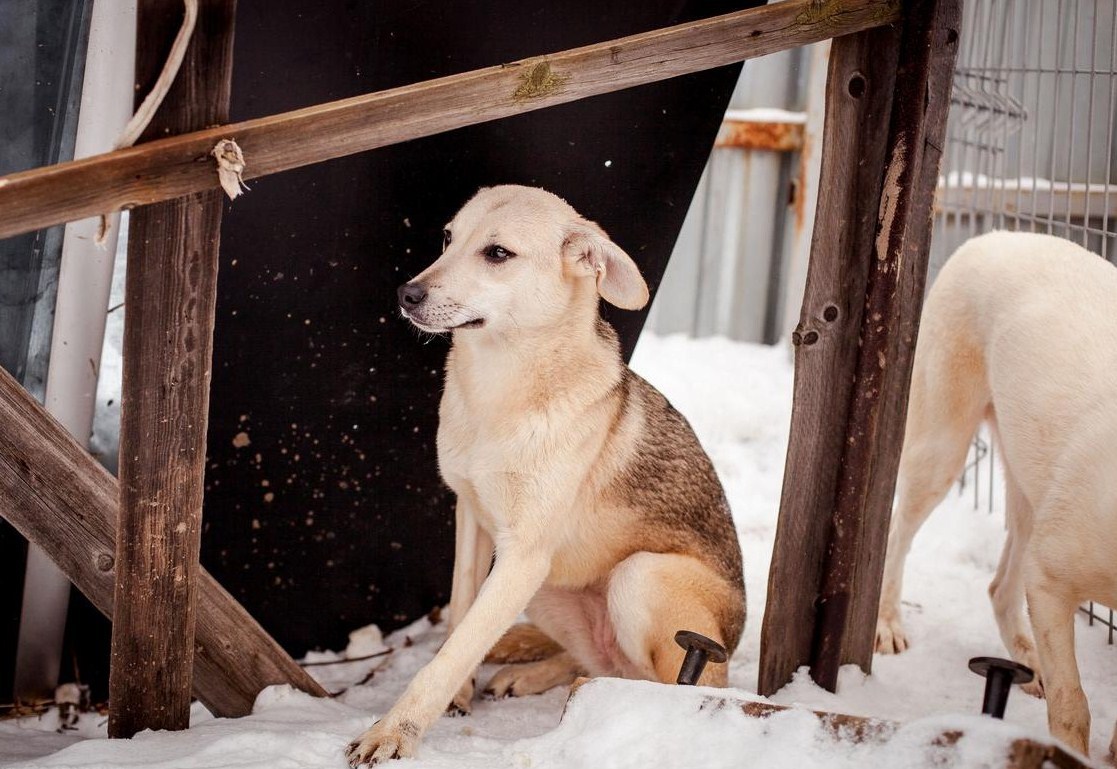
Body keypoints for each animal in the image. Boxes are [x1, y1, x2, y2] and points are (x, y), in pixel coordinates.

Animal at [346, 184, 750, 764]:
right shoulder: (474, 521)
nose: (407, 294)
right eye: (447, 238)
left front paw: (396, 730)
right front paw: (461, 690)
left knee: (653, 683)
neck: (499, 391)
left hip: (640, 580)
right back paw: (528, 664)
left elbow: (452, 652)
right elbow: (460, 615)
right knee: (598, 661)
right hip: (546, 585)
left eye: (497, 253)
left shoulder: (523, 554)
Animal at [875, 231, 1117, 760]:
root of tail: (999, 235)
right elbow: (1073, 705)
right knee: (898, 532)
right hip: (941, 448)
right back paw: (886, 623)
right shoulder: (1049, 580)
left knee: (1000, 587)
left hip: (1030, 485)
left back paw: (1028, 658)